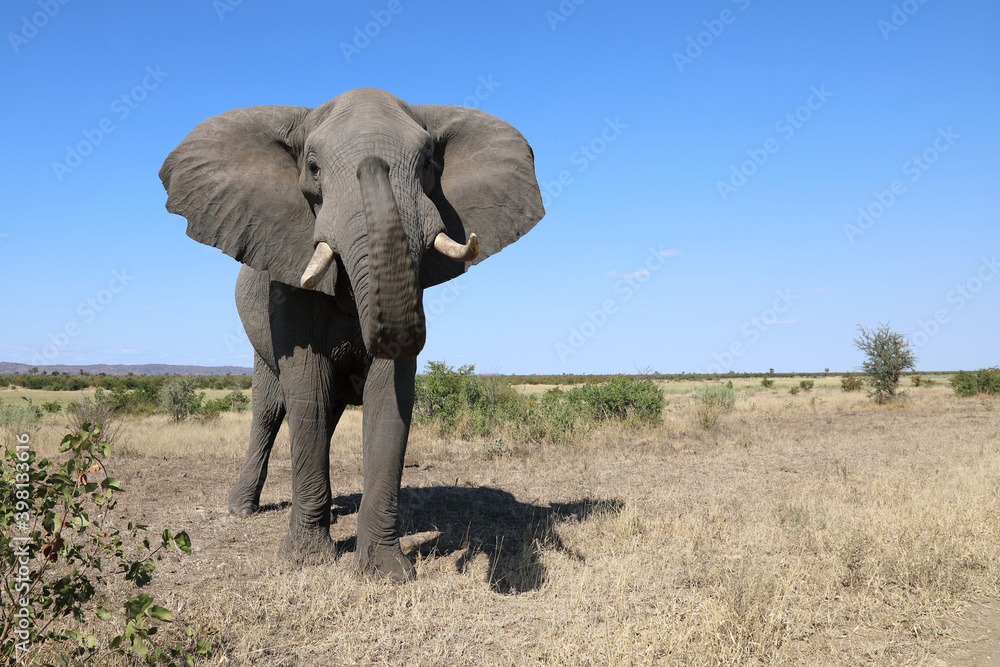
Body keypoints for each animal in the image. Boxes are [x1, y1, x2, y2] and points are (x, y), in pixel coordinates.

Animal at [159, 88, 544, 581]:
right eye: (314, 167)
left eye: (426, 164)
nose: (372, 166)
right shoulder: (286, 284)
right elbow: (307, 388)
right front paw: (304, 560)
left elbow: (390, 393)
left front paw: (386, 571)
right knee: (271, 409)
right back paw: (242, 508)